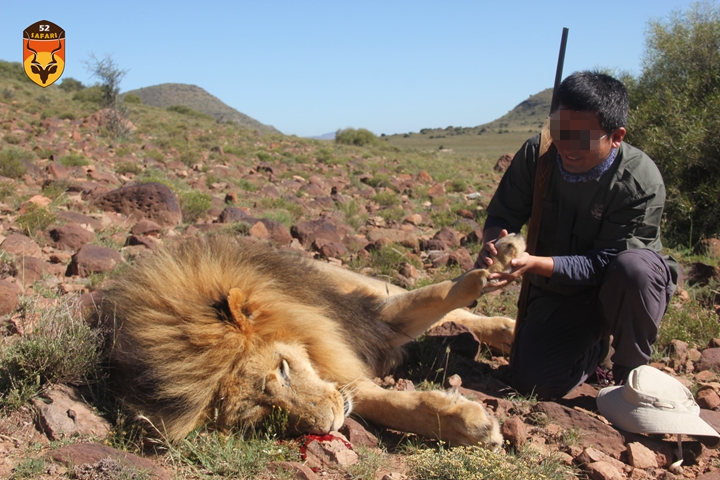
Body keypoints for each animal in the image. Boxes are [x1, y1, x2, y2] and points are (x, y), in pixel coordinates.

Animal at [98, 234, 524, 448]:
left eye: (283, 368)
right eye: (258, 412)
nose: (331, 424)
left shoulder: (366, 320)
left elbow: (441, 293)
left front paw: (494, 264)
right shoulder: (342, 378)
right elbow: (394, 405)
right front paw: (468, 424)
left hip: (361, 285)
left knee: (456, 308)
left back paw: (504, 268)